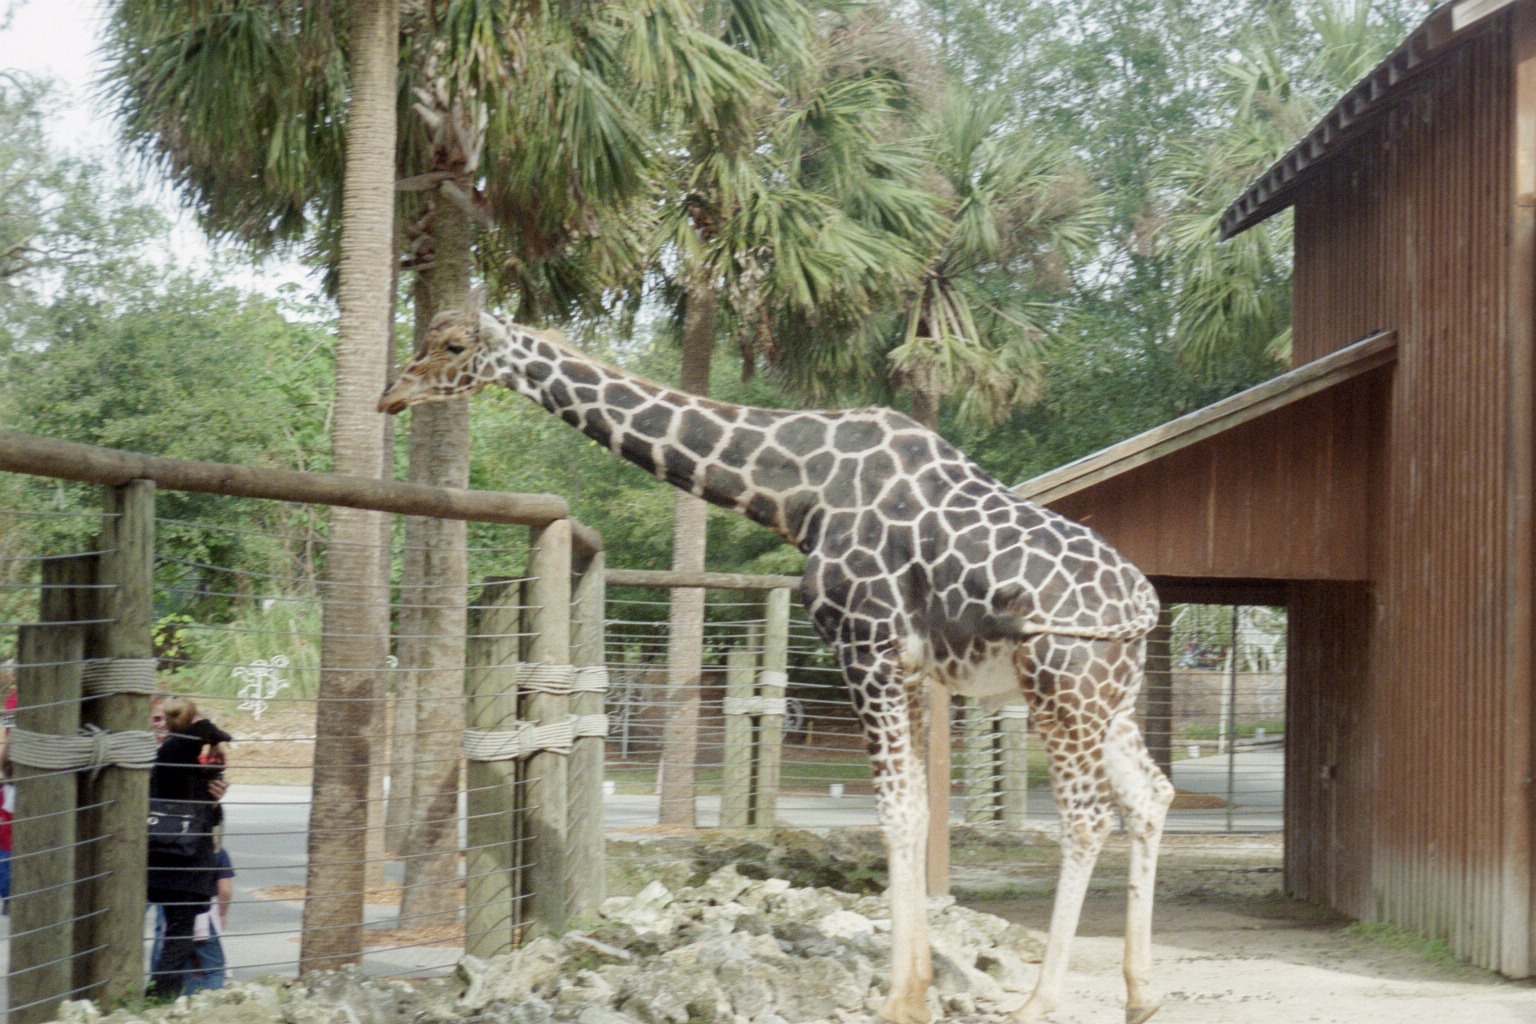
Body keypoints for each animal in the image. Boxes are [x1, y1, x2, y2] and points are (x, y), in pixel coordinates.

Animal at [379, 310, 1175, 1024]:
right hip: (1109, 698)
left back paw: (1042, 1001)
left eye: (451, 345)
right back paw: (1140, 994)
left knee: (1086, 815)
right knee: (1150, 794)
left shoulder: (866, 644)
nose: (392, 391)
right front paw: (915, 991)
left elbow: (897, 811)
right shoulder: (912, 668)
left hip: (1061, 685)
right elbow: (916, 810)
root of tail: (1143, 606)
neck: (798, 489)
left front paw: (899, 1002)